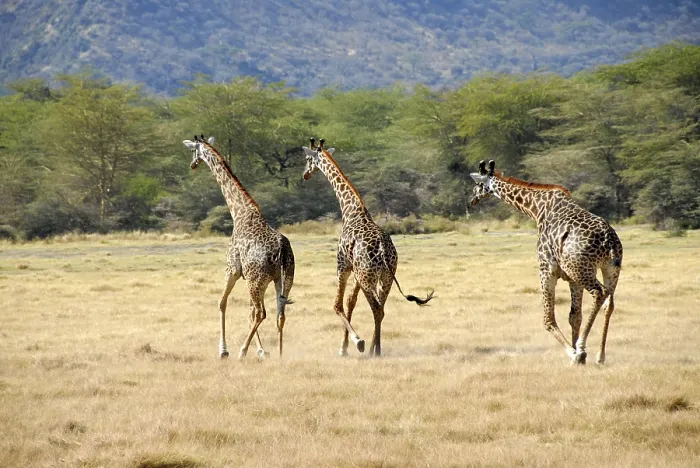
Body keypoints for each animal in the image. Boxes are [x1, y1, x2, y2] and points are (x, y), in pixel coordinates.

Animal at [183, 135, 294, 360]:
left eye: (193, 151)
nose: (192, 165)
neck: (239, 212)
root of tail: (281, 249)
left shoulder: (233, 269)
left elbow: (222, 303)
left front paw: (224, 351)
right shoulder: (247, 276)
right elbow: (247, 311)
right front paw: (262, 350)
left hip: (257, 279)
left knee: (261, 312)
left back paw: (242, 351)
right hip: (283, 278)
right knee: (280, 312)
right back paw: (279, 354)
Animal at [302, 138, 434, 357]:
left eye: (307, 159)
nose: (305, 174)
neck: (350, 210)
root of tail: (383, 250)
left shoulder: (343, 266)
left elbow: (338, 305)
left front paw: (350, 345)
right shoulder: (357, 273)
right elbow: (351, 302)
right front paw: (349, 345)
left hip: (368, 277)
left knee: (375, 308)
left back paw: (373, 349)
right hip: (384, 277)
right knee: (380, 309)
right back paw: (375, 349)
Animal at [470, 160, 623, 365]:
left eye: (478, 184)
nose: (472, 199)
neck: (535, 209)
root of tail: (608, 240)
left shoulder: (546, 269)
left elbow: (548, 319)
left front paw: (575, 353)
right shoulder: (571, 278)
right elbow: (575, 317)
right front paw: (578, 355)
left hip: (581, 269)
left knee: (599, 293)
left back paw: (582, 346)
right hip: (610, 269)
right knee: (609, 304)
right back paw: (600, 356)